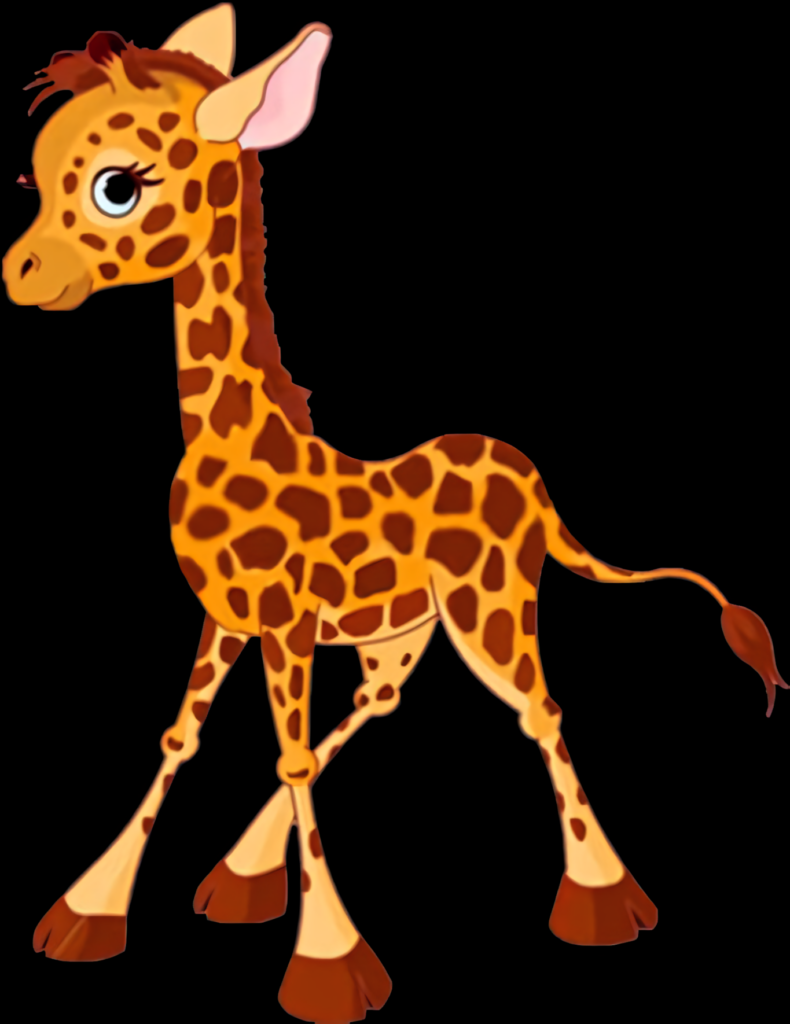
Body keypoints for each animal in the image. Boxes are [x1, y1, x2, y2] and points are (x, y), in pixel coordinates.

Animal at [4, 5, 785, 1021]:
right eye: (34, 173)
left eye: (116, 186)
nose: (20, 273)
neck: (235, 443)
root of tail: (533, 481)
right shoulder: (227, 618)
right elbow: (182, 737)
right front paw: (85, 915)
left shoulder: (285, 625)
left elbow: (289, 757)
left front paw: (330, 969)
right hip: (400, 631)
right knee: (380, 703)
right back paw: (243, 872)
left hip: (495, 613)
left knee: (540, 712)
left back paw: (604, 903)